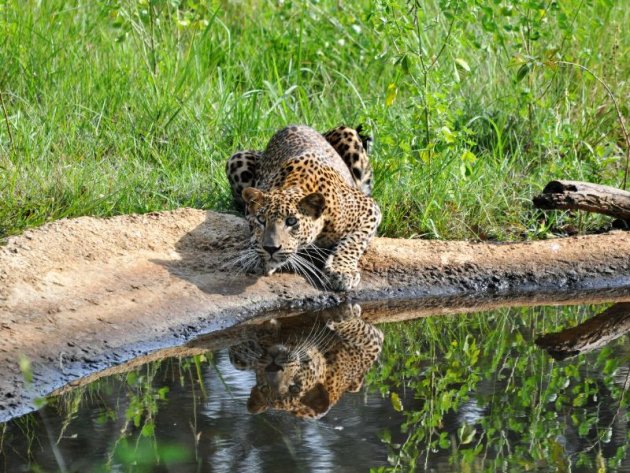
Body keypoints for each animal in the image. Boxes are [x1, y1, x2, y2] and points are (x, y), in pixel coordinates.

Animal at [228, 123, 386, 290]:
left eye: (291, 221)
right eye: (261, 220)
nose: (271, 248)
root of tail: (294, 124)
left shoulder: (368, 207)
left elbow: (353, 241)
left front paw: (342, 271)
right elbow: (254, 236)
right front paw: (256, 257)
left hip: (348, 135)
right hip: (236, 158)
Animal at [228, 302, 386, 416]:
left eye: (294, 389)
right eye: (265, 387)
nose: (272, 367)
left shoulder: (372, 344)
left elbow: (358, 329)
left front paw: (343, 313)